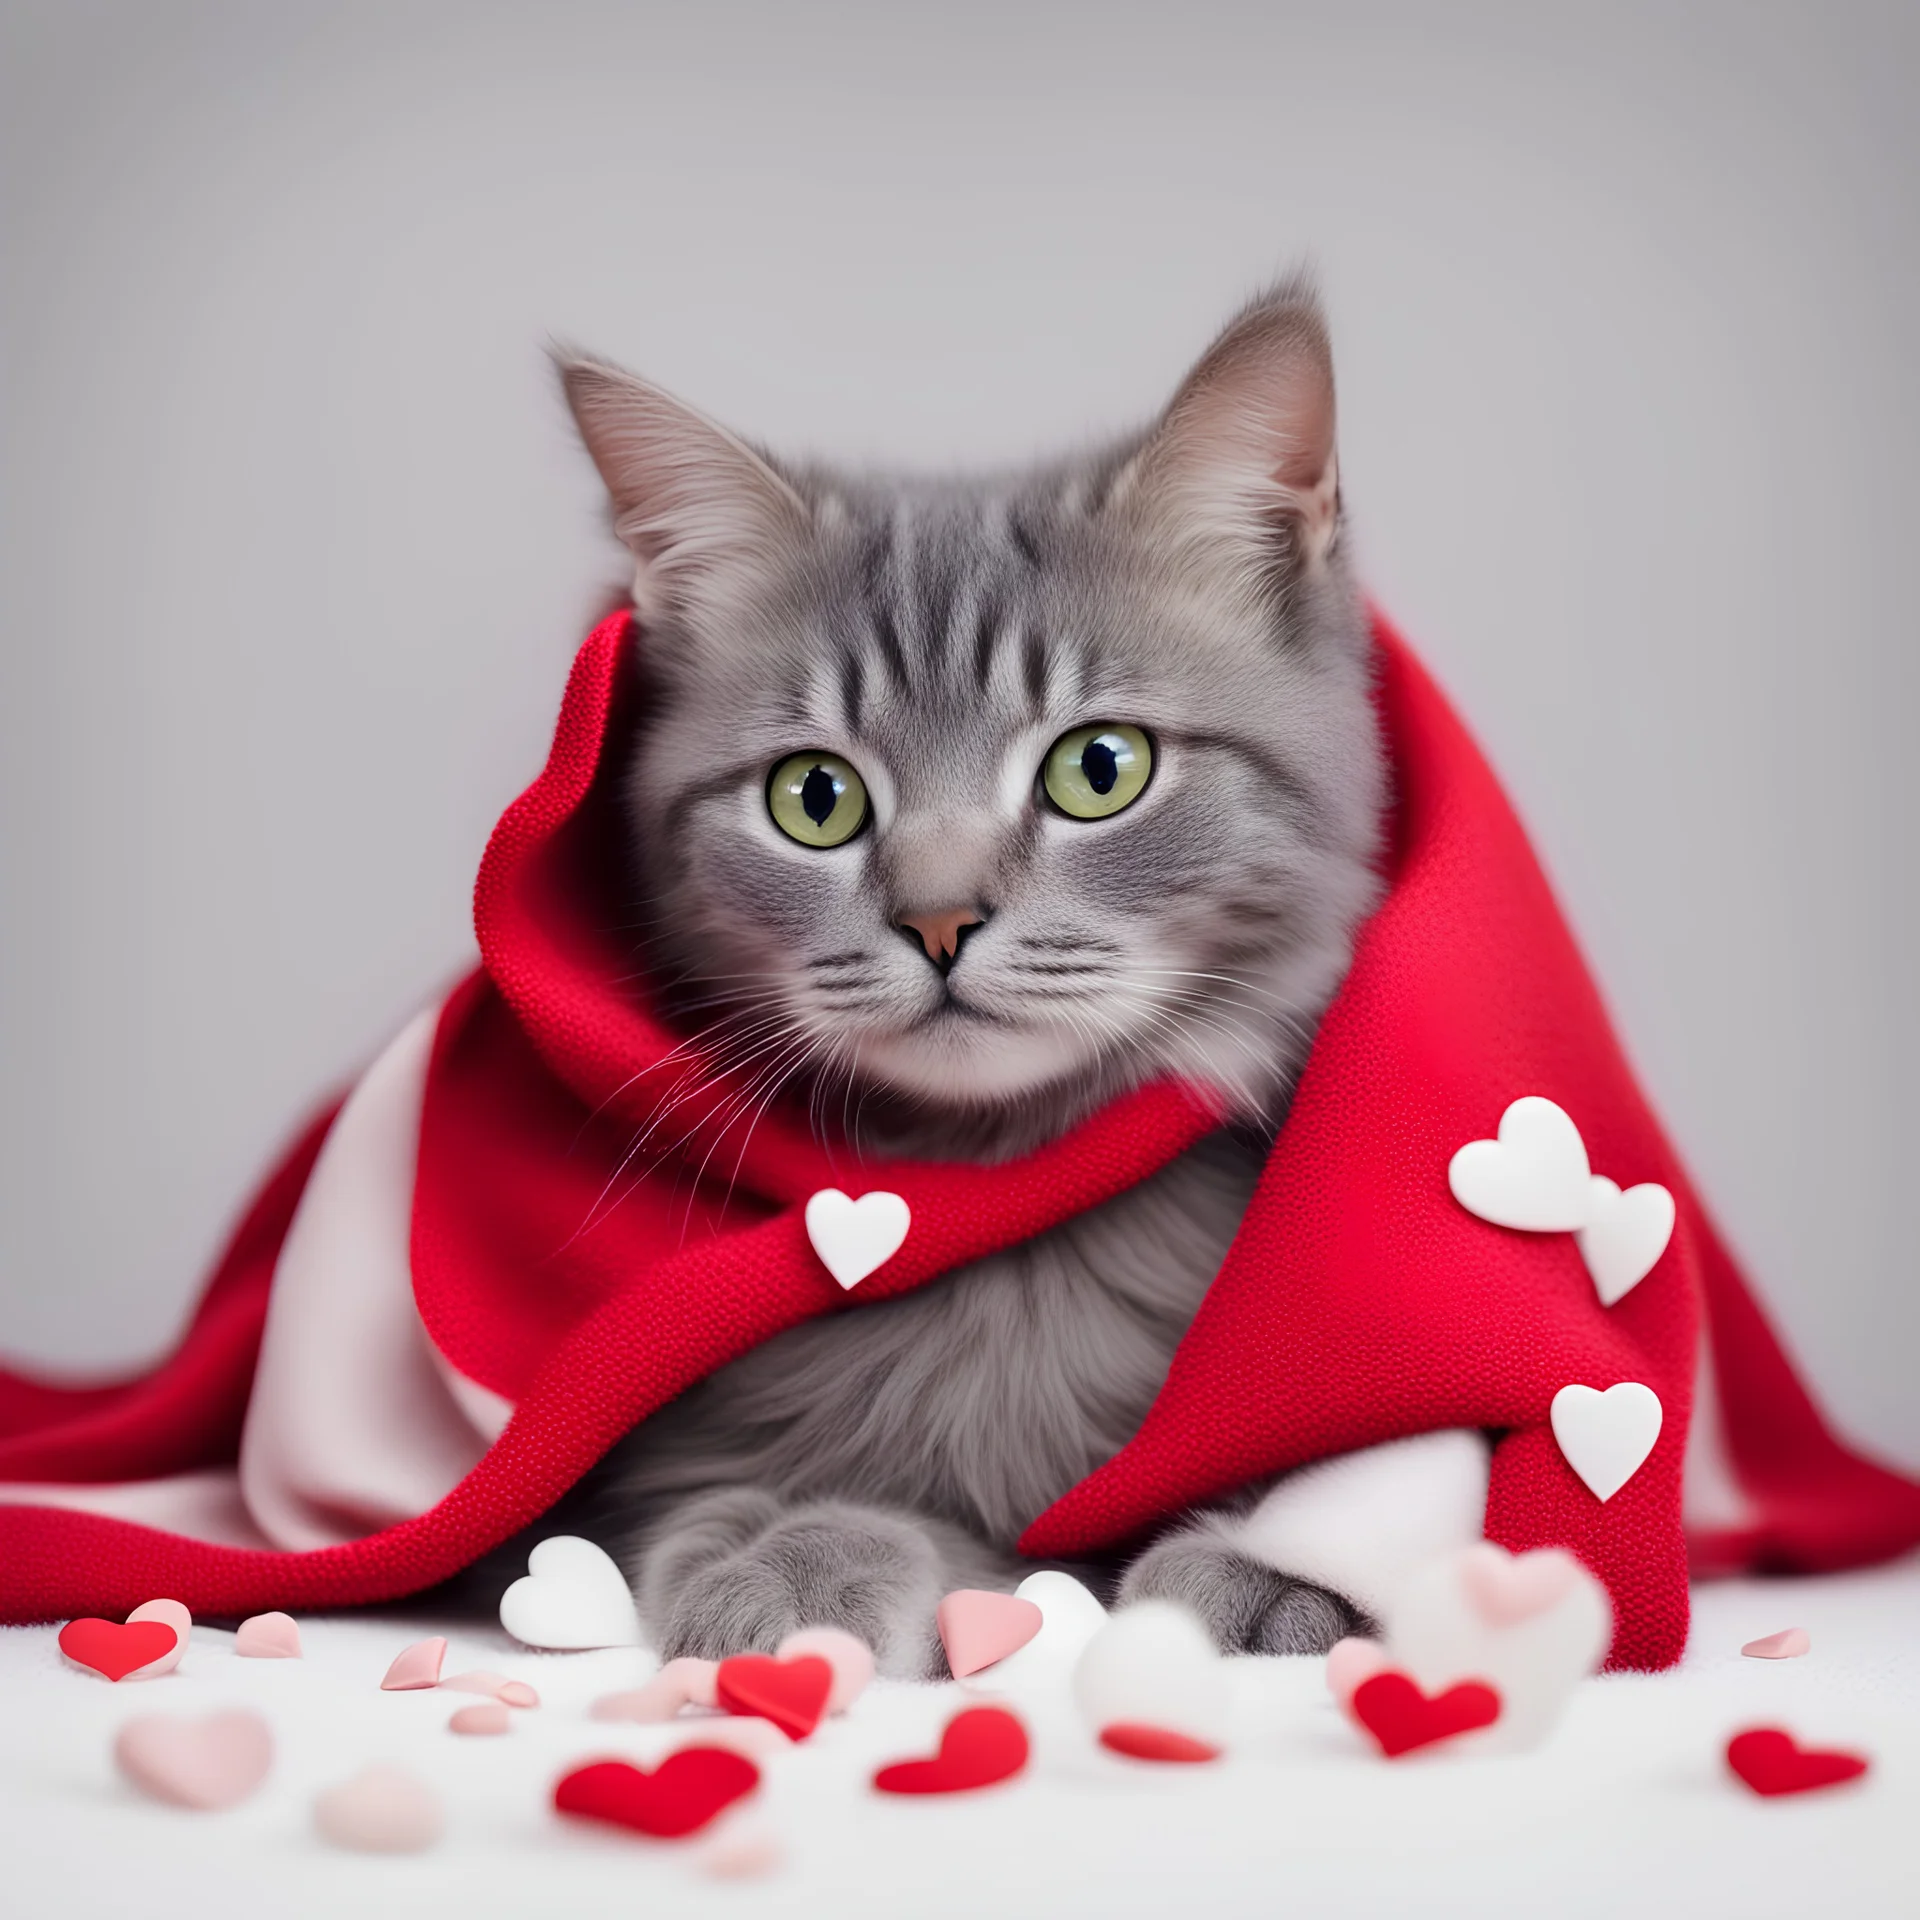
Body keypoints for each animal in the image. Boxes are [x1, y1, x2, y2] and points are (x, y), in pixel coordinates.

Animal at [510, 278, 1413, 1674]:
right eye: (814, 798)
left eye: (1100, 769)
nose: (939, 920)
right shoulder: (677, 1453)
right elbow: (796, 1498)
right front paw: (787, 1551)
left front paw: (1273, 1562)